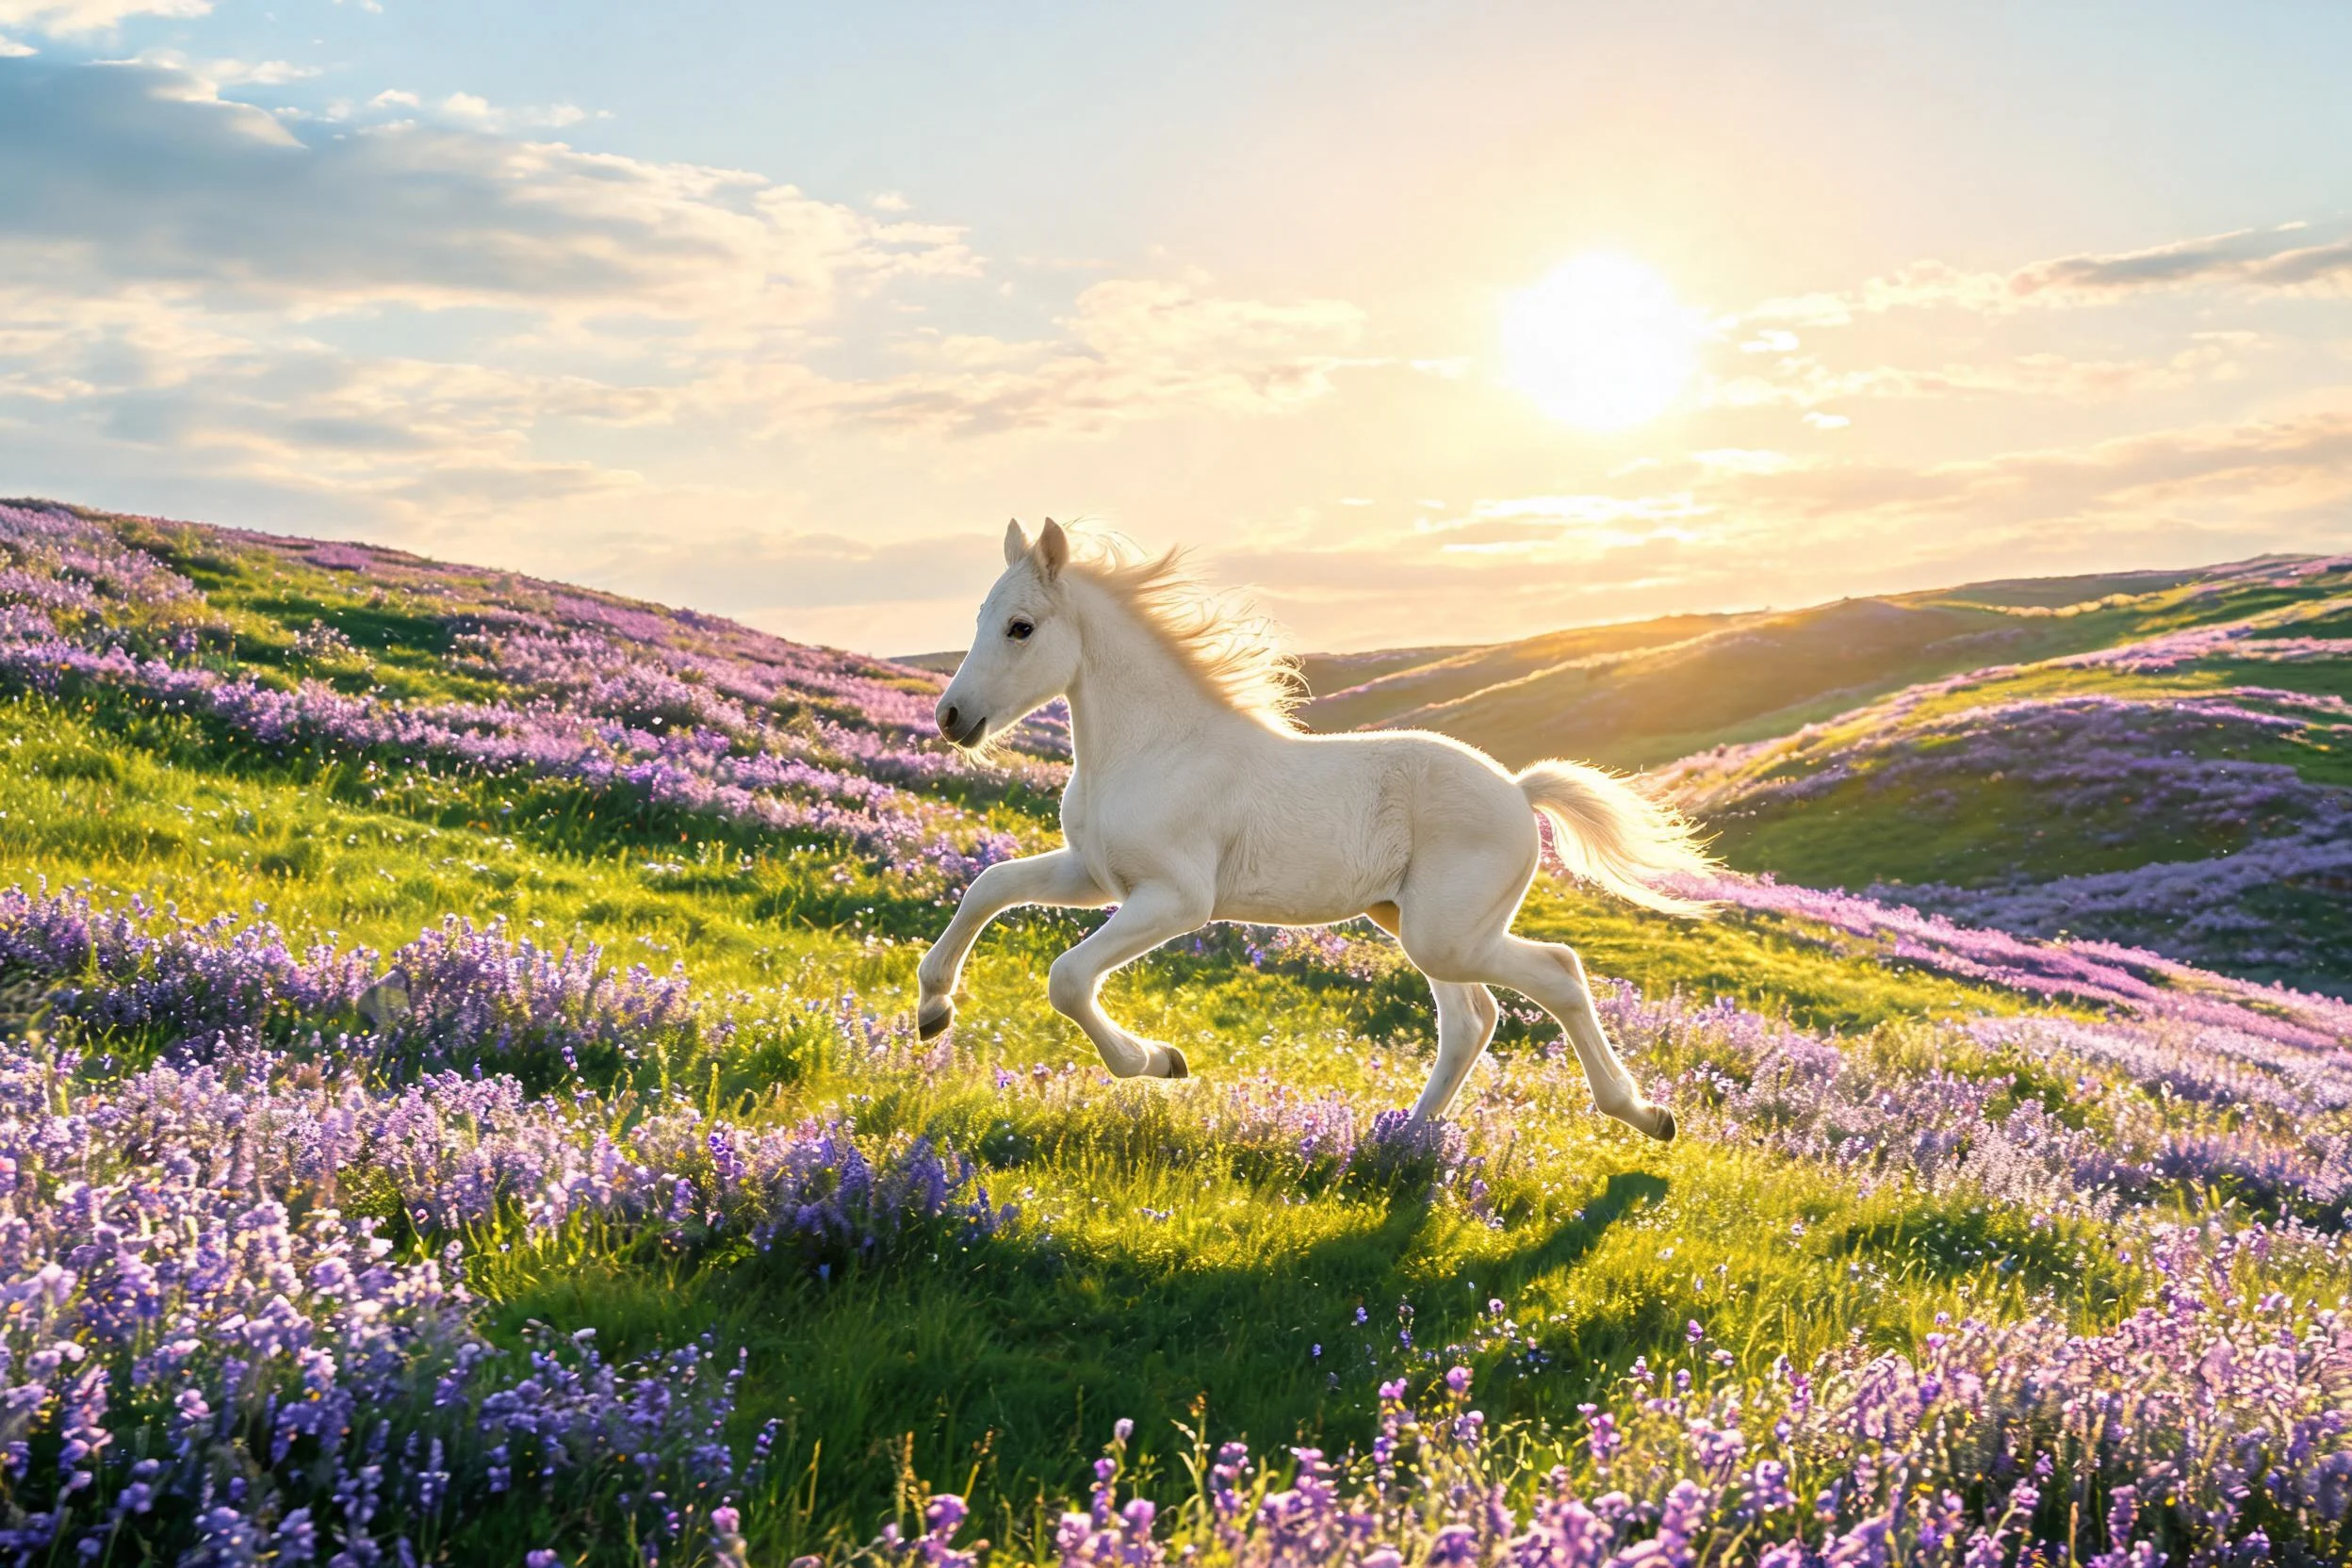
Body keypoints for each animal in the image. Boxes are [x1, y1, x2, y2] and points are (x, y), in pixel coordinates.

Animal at [914, 518, 1717, 1139]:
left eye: (1021, 627)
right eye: (981, 618)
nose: (951, 718)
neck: (1156, 747)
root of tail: (1519, 792)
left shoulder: (1175, 901)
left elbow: (1069, 977)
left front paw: (1160, 1062)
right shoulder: (1095, 874)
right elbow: (990, 886)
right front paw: (932, 1010)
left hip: (1446, 934)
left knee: (1557, 972)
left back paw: (1645, 1116)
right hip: (1416, 923)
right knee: (1472, 1019)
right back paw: (1405, 1140)